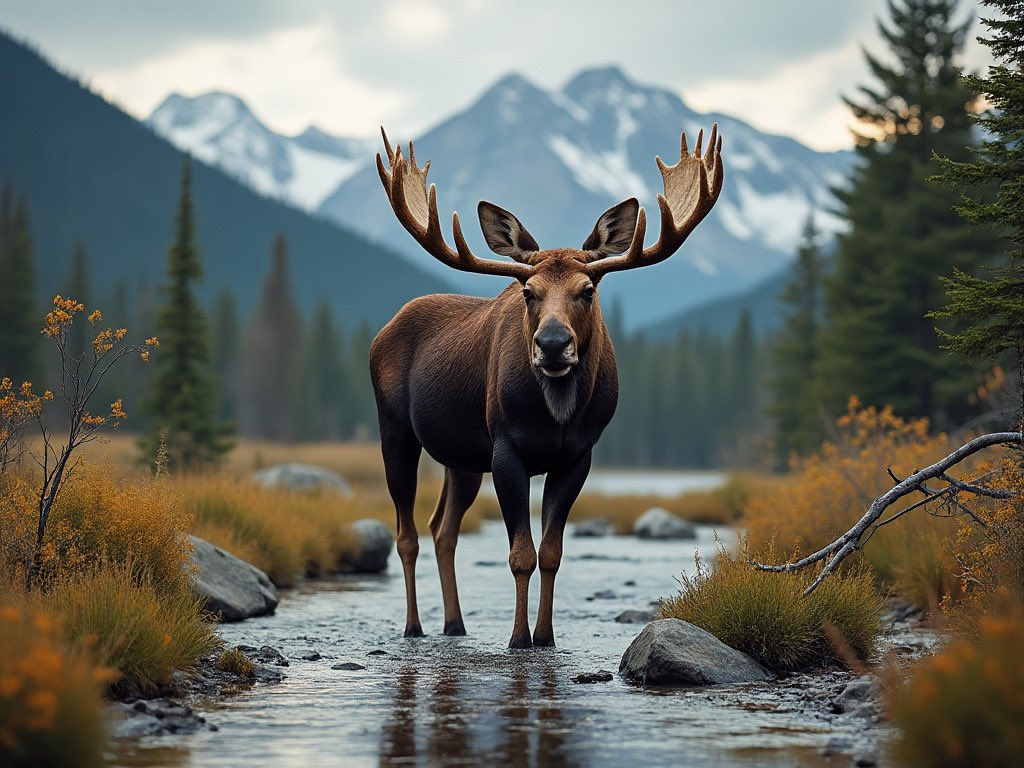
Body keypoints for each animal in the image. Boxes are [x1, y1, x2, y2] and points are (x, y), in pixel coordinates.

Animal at [370, 124, 724, 648]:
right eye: (528, 292)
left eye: (588, 290)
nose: (553, 344)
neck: (556, 413)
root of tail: (383, 330)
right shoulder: (505, 447)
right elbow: (521, 553)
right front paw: (519, 637)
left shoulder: (577, 455)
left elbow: (552, 553)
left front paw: (547, 635)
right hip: (395, 431)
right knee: (406, 533)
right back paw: (414, 626)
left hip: (461, 458)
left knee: (443, 528)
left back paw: (455, 623)